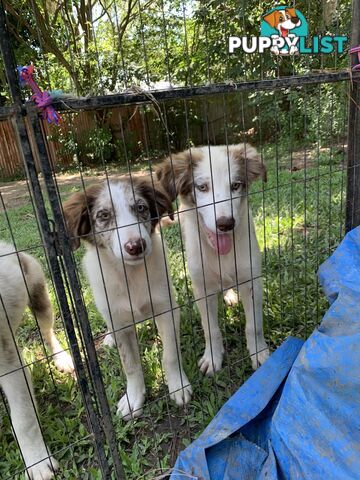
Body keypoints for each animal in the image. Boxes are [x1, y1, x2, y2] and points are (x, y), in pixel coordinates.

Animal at [0, 242, 74, 478]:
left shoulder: (11, 366)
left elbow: (23, 420)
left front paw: (38, 463)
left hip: (40, 297)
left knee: (47, 332)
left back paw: (62, 358)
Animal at [64, 175, 194, 420]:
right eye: (104, 216)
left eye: (141, 208)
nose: (135, 246)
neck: (130, 275)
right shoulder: (120, 322)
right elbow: (131, 365)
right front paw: (134, 399)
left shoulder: (166, 309)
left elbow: (170, 354)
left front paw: (178, 386)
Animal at [157, 145, 270, 376]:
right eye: (202, 187)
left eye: (235, 185)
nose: (225, 224)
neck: (221, 254)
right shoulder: (202, 287)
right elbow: (211, 329)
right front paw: (212, 358)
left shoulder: (251, 280)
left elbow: (254, 325)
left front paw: (258, 353)